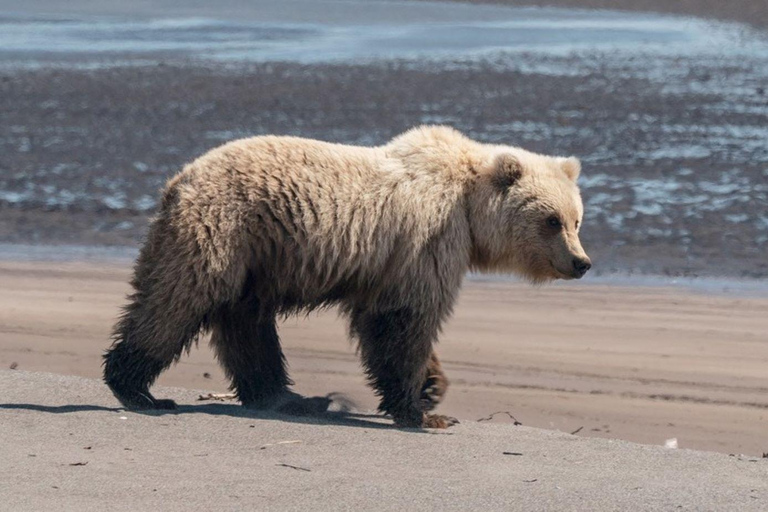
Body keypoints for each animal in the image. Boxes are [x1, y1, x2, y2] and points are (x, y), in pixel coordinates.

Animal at [103, 125, 590, 428]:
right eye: (551, 220)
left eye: (576, 219)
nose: (581, 262)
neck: (470, 212)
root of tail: (177, 181)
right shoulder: (426, 242)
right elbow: (401, 321)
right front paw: (423, 412)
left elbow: (391, 322)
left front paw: (433, 387)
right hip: (221, 231)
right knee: (176, 301)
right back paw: (139, 389)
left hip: (253, 259)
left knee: (245, 324)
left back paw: (291, 398)